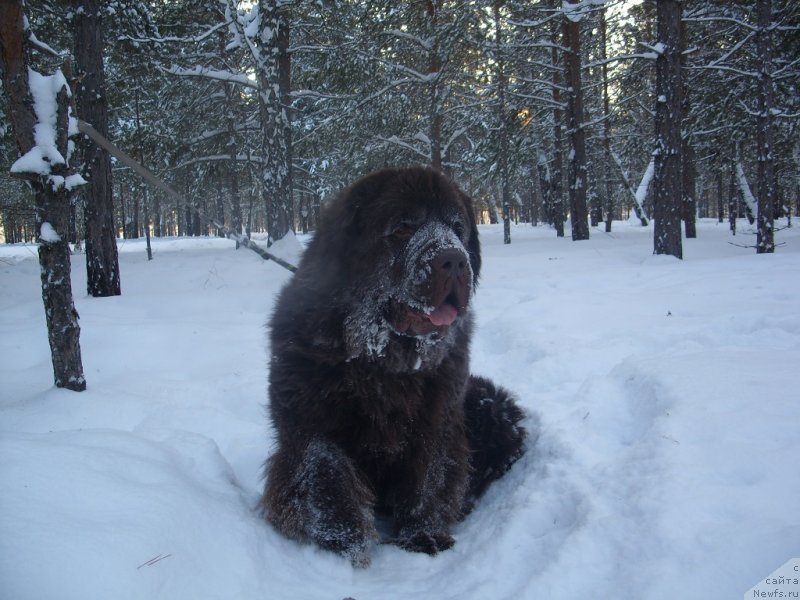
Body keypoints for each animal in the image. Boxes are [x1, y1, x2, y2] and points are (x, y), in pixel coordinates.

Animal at [260, 166, 528, 564]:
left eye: (457, 227)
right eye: (403, 228)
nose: (454, 259)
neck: (382, 360)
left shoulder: (437, 419)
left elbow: (430, 475)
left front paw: (422, 534)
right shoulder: (306, 420)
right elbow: (323, 466)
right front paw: (343, 538)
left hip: (489, 401)